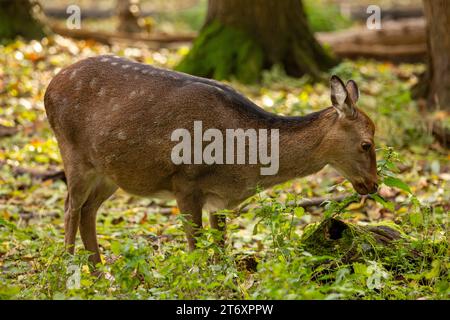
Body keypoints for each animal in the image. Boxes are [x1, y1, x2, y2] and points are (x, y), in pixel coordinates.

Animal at [44, 55, 376, 264]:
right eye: (366, 143)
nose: (373, 185)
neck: (241, 160)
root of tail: (49, 86)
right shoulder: (185, 181)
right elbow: (195, 247)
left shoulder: (220, 198)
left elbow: (220, 250)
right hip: (72, 151)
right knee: (70, 208)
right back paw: (68, 273)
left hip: (109, 172)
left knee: (88, 210)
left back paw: (99, 274)